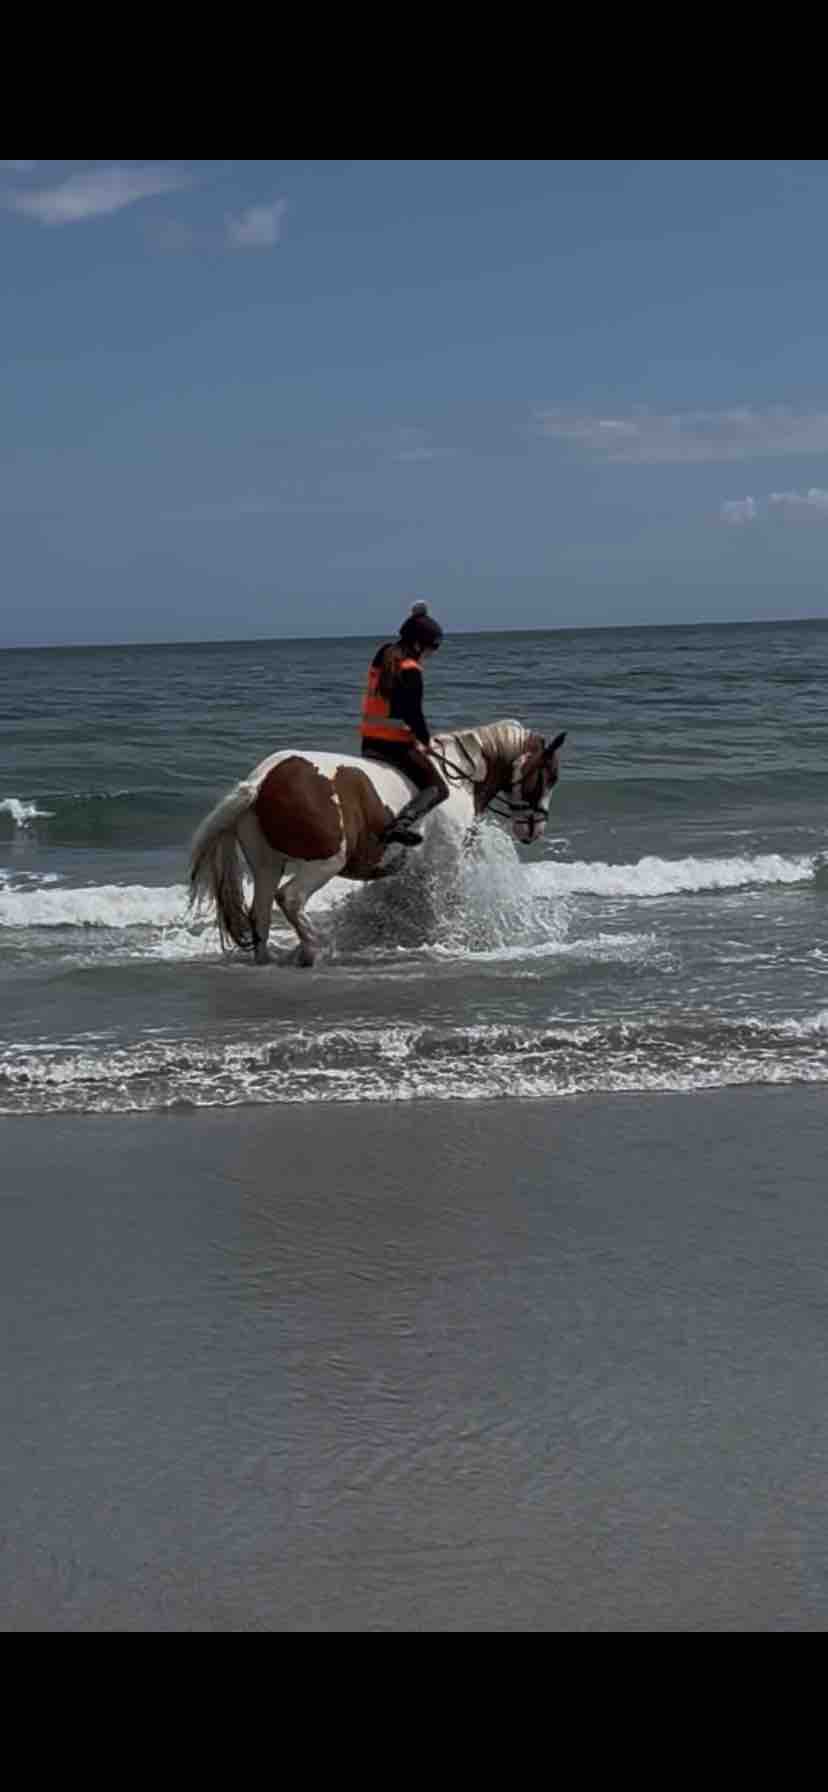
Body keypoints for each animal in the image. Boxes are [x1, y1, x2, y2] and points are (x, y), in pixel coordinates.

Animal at [189, 720, 566, 966]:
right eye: (551, 776)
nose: (533, 829)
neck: (461, 777)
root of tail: (262, 780)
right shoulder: (448, 864)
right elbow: (448, 905)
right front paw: (451, 940)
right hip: (326, 861)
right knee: (291, 898)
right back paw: (313, 949)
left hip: (266, 862)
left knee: (261, 911)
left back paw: (269, 957)